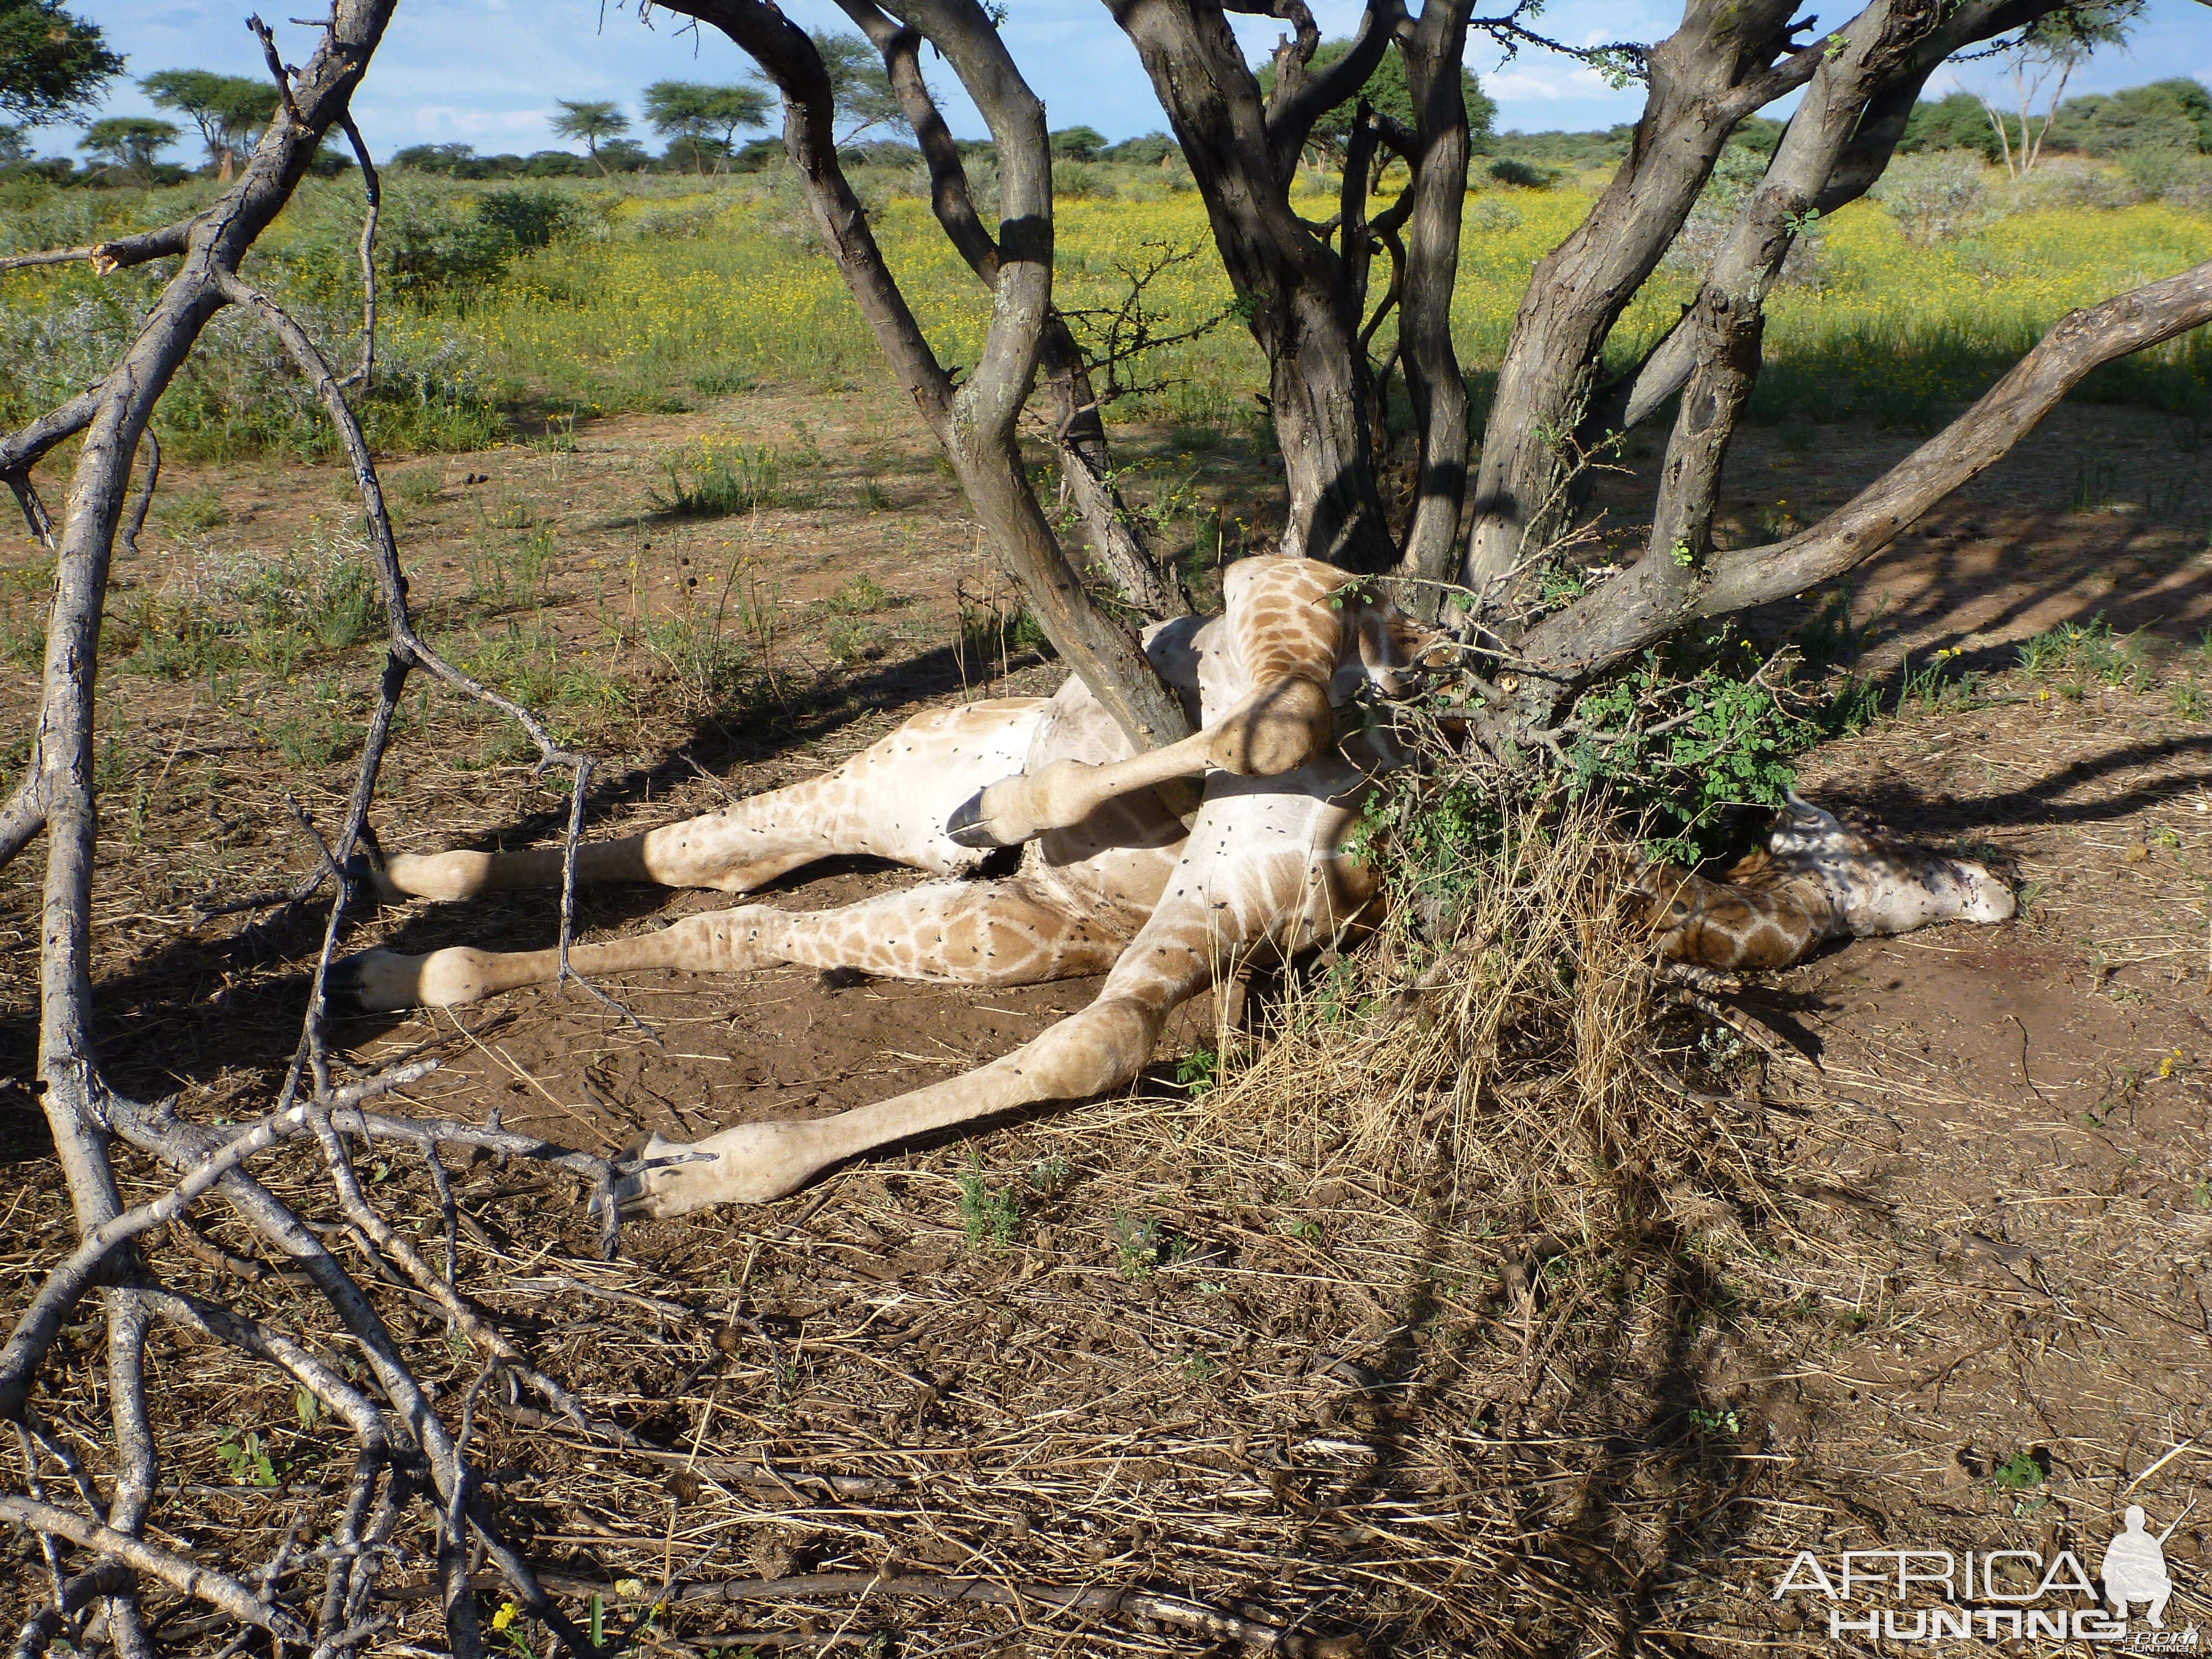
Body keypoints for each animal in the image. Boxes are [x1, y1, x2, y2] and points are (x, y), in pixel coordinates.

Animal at [332, 560, 2026, 1221]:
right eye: (1887, 839)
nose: (2000, 886)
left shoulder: (1167, 932)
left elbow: (1088, 1043)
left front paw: (683, 1168)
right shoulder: (1223, 859)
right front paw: (685, 1171)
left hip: (903, 825)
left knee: (712, 867)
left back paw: (399, 926)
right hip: (1084, 688)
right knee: (1263, 648)